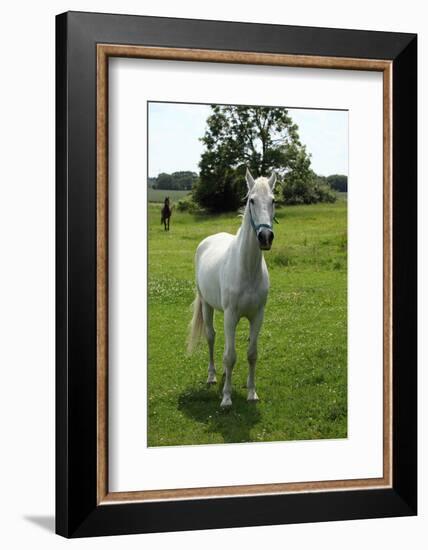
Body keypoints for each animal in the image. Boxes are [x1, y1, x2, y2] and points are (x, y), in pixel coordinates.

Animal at [188, 170, 278, 408]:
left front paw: (252, 392)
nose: (265, 238)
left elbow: (251, 354)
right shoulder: (230, 316)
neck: (247, 269)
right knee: (211, 337)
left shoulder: (257, 316)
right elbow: (229, 356)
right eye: (251, 200)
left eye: (273, 200)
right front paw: (227, 398)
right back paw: (211, 376)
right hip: (207, 306)